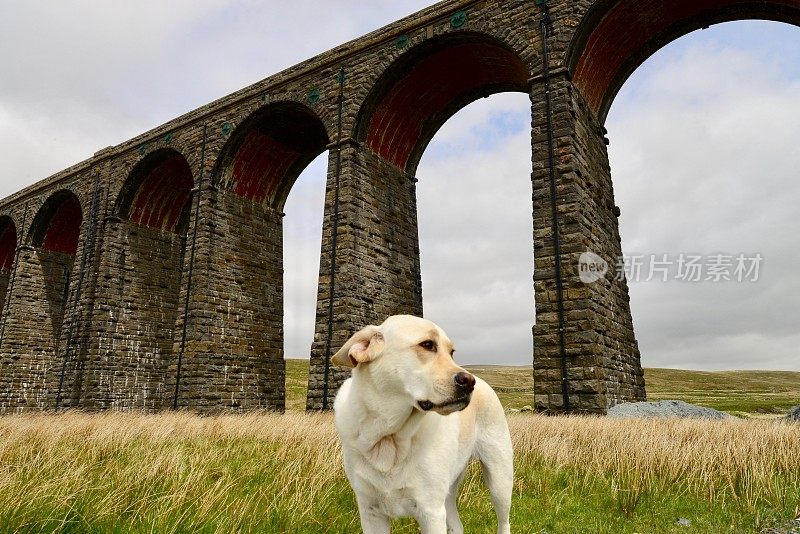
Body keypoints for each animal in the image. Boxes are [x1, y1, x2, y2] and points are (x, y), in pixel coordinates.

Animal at [332, 316, 512, 534]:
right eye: (427, 345)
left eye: (451, 352)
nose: (469, 381)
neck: (389, 436)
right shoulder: (370, 512)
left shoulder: (430, 511)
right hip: (449, 493)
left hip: (499, 480)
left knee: (504, 522)